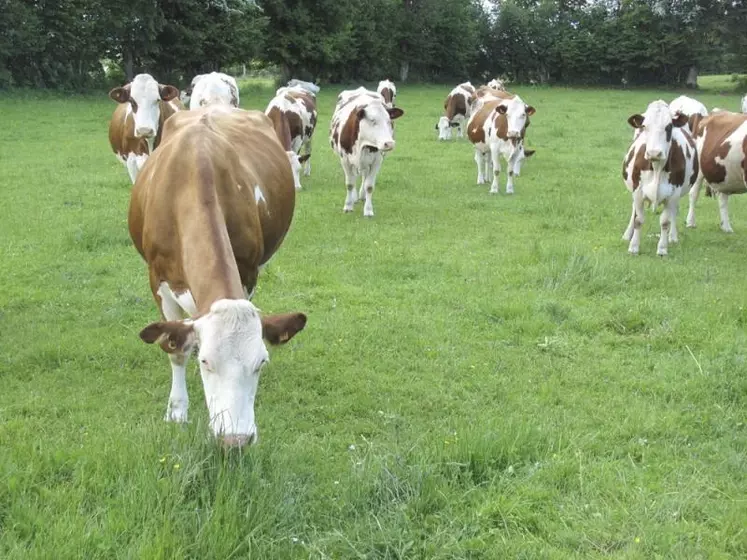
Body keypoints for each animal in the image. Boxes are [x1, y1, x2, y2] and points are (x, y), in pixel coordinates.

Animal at [129, 104, 306, 446]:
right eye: (205, 362)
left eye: (261, 362)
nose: (235, 440)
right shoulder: (157, 281)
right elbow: (175, 349)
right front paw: (177, 411)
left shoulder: (248, 272)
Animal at [330, 87, 406, 217]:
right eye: (372, 120)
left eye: (389, 121)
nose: (389, 143)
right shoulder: (345, 159)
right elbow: (349, 183)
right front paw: (348, 206)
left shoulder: (377, 161)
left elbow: (369, 186)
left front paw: (368, 210)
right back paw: (355, 197)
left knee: (364, 176)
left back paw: (362, 196)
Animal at [620, 101, 700, 256]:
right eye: (644, 126)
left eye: (668, 127)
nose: (654, 153)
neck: (657, 168)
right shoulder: (638, 192)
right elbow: (638, 219)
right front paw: (633, 246)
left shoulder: (673, 194)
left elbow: (665, 222)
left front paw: (662, 248)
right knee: (633, 211)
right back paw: (627, 234)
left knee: (674, 212)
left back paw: (673, 237)